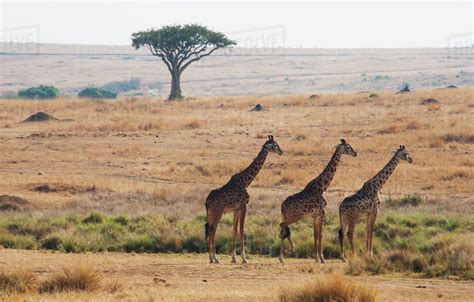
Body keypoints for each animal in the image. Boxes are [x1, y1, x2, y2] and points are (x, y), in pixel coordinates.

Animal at [204, 136, 282, 264]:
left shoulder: (236, 209)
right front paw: (244, 258)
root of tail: (207, 201)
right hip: (218, 212)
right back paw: (215, 258)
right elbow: (242, 230)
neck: (246, 181)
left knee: (210, 229)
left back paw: (211, 258)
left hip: (210, 213)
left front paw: (234, 258)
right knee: (212, 230)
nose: (281, 151)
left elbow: (234, 230)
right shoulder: (244, 206)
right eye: (275, 145)